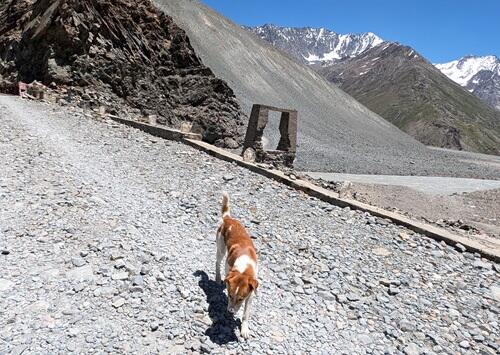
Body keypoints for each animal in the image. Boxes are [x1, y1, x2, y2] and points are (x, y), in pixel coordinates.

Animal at [216, 192, 260, 340]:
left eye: (241, 299)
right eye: (229, 295)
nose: (230, 311)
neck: (244, 269)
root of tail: (228, 219)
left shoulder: (250, 294)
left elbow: (246, 313)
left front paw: (244, 329)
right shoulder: (229, 267)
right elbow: (226, 274)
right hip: (221, 248)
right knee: (217, 263)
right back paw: (218, 278)